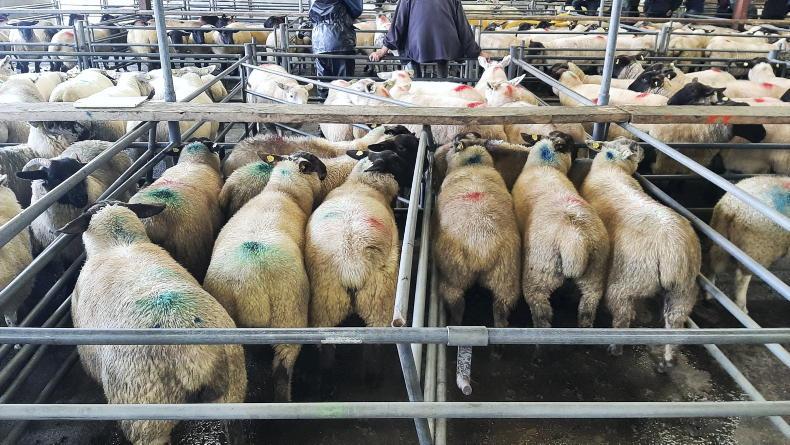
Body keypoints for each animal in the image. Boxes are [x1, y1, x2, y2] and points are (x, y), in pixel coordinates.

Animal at [204, 152, 327, 401]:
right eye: (315, 163)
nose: (326, 172)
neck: (282, 191)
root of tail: (250, 286)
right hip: (289, 318)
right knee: (281, 371)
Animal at [433, 135, 520, 327]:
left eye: (453, 144)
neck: (474, 163)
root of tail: (481, 251)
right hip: (505, 276)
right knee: (501, 307)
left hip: (454, 275)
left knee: (456, 302)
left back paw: (455, 321)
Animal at [512, 131, 609, 329]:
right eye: (571, 144)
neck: (544, 165)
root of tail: (575, 242)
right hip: (595, 275)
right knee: (587, 310)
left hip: (539, 275)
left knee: (541, 312)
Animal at [580, 137, 701, 371]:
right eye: (634, 147)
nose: (646, 150)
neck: (612, 168)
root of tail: (673, 249)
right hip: (683, 288)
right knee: (675, 322)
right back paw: (667, 362)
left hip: (628, 278)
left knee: (622, 315)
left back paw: (615, 348)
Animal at [708, 176, 790, 313]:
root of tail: (732, 205)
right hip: (756, 248)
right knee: (741, 278)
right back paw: (741, 307)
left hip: (719, 235)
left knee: (713, 263)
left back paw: (709, 293)